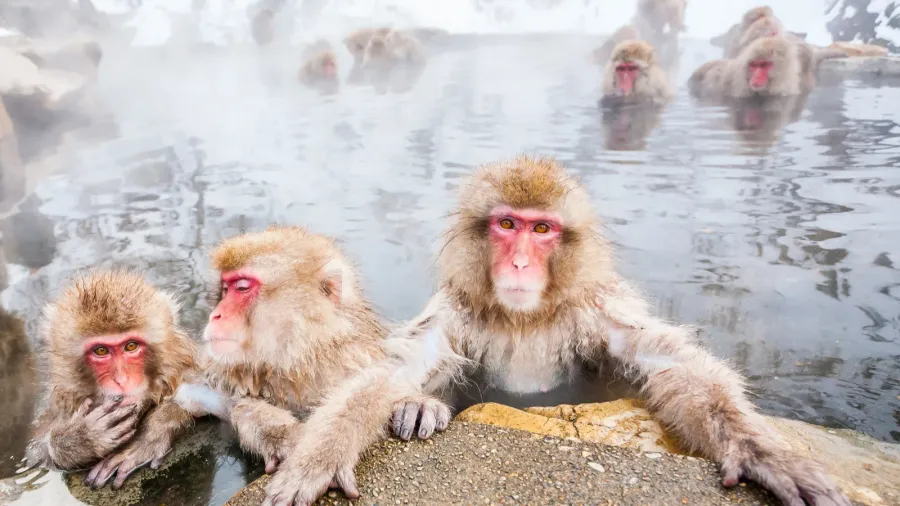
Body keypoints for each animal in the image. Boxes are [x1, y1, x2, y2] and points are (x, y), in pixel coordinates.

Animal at [25, 270, 197, 490]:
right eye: (101, 351)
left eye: (131, 346)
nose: (121, 380)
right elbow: (34, 457)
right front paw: (80, 439)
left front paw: (147, 437)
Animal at [171, 226, 449, 476]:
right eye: (225, 290)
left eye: (241, 287)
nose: (215, 315)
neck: (300, 360)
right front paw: (280, 435)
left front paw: (413, 406)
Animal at [260, 156, 851, 506]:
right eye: (507, 225)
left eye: (542, 229)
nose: (520, 261)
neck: (526, 317)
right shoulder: (457, 310)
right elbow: (393, 370)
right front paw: (319, 457)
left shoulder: (597, 308)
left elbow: (668, 362)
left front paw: (764, 455)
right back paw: (419, 409)